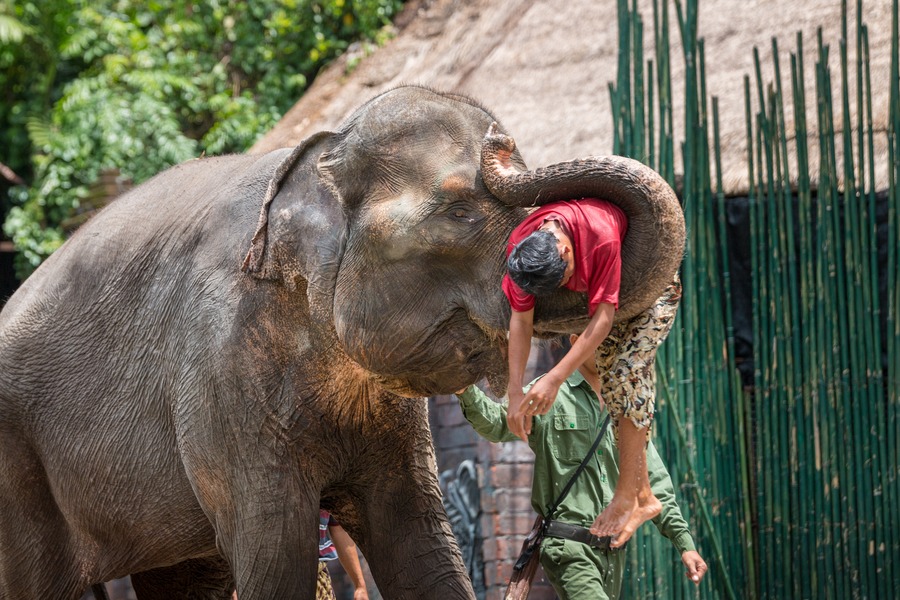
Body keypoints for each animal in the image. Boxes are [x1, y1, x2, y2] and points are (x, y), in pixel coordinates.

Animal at [0, 85, 683, 599]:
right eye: (459, 211)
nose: (500, 143)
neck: (313, 159)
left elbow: (420, 543)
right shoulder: (219, 371)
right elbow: (277, 555)